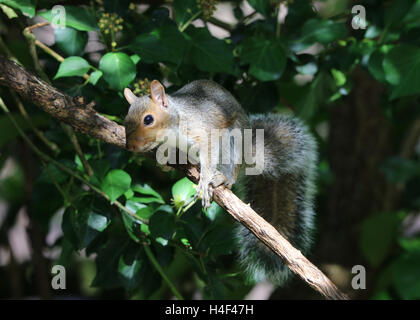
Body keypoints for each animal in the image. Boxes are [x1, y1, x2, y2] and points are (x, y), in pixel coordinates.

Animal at [124, 80, 318, 284]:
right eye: (126, 117)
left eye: (148, 119)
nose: (130, 146)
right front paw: (166, 160)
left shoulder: (205, 133)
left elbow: (209, 155)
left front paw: (204, 182)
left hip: (231, 142)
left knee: (230, 173)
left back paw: (221, 178)